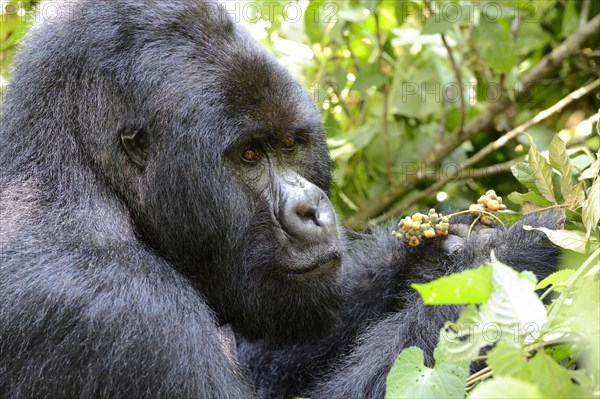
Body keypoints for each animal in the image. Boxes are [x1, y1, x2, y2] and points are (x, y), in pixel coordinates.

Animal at [1, 0, 556, 399]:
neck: (82, 173)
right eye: (250, 155)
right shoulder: (117, 307)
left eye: (290, 145)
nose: (312, 210)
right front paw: (506, 260)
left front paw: (427, 262)